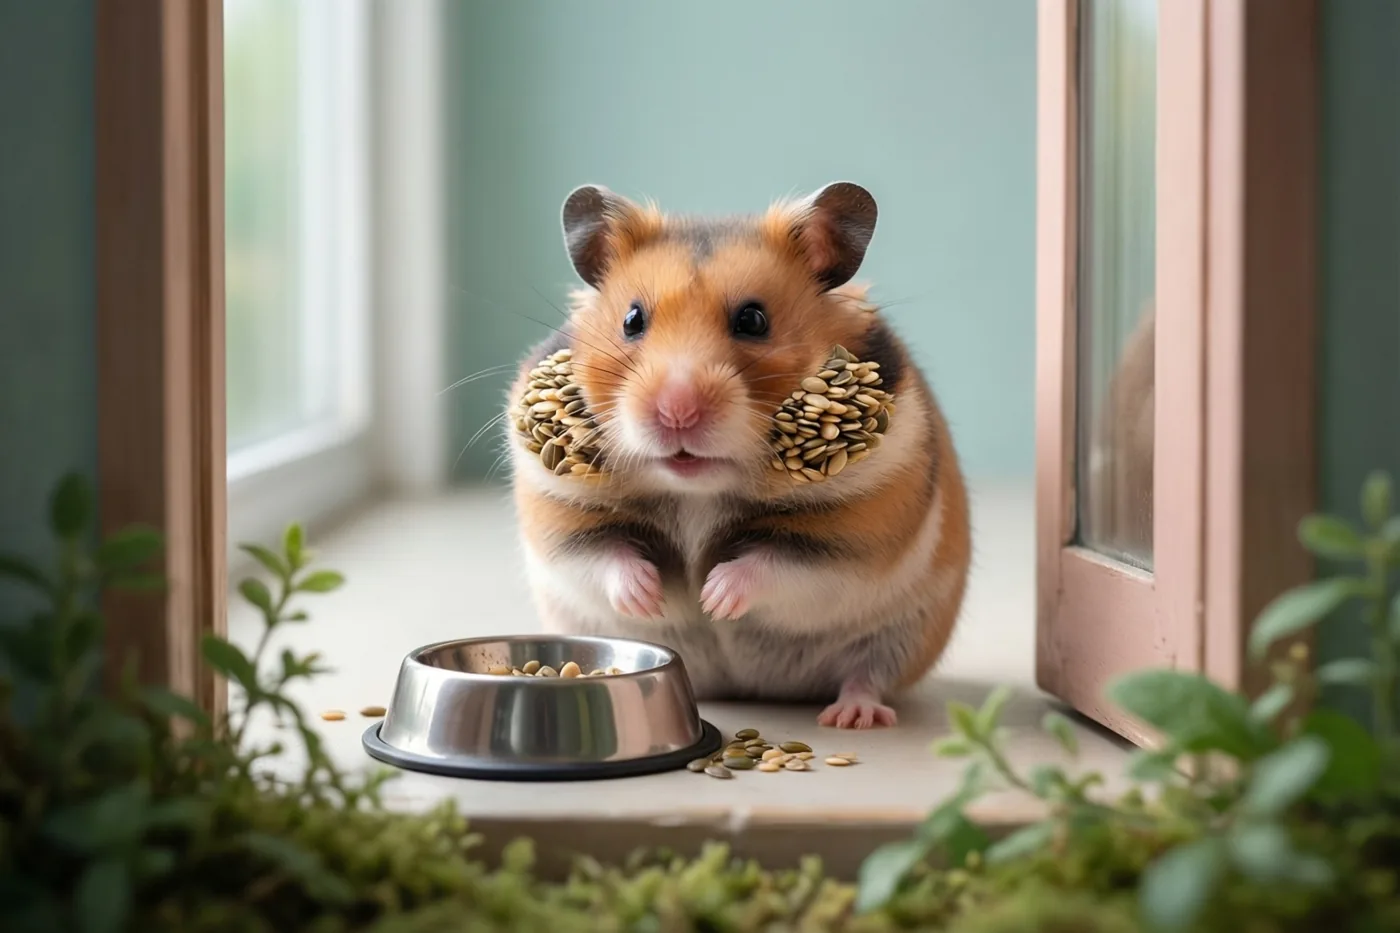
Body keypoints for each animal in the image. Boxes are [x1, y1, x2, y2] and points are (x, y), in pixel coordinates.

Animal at [506, 182, 971, 729]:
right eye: (632, 320)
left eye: (753, 319)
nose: (677, 411)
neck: (697, 491)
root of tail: (755, 687)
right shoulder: (561, 517)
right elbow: (607, 557)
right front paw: (653, 598)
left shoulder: (851, 537)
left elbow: (771, 563)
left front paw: (713, 599)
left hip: (900, 634)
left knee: (867, 674)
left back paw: (850, 716)